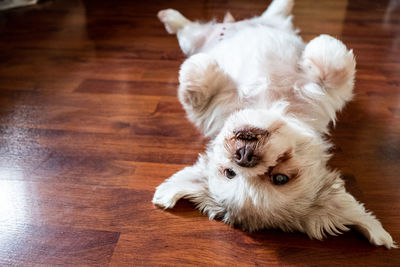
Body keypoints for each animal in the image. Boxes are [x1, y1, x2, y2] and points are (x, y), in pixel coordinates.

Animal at [152, 0, 396, 249]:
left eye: (280, 179)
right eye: (230, 173)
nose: (244, 156)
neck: (267, 104)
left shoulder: (326, 94)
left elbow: (334, 67)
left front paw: (320, 47)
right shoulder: (209, 106)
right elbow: (196, 85)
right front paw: (202, 65)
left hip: (240, 29)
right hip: (195, 39)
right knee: (186, 27)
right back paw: (169, 15)